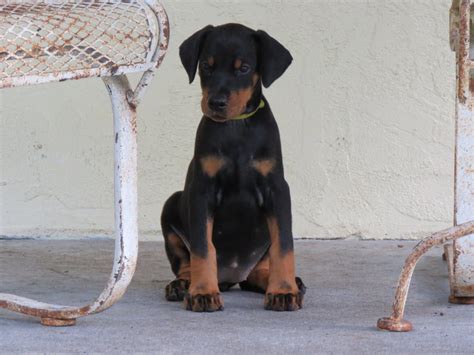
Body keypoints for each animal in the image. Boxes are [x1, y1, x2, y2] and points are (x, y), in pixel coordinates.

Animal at [161, 23, 306, 312]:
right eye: (206, 66)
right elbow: (203, 248)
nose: (216, 103)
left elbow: (284, 245)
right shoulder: (202, 190)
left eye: (244, 68)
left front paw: (283, 290)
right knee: (185, 262)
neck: (237, 126)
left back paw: (285, 283)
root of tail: (232, 276)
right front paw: (203, 292)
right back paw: (183, 285)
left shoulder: (277, 189)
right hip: (171, 204)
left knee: (258, 272)